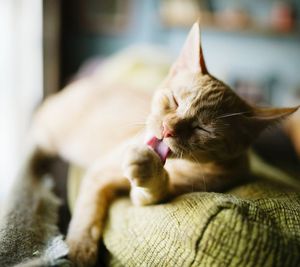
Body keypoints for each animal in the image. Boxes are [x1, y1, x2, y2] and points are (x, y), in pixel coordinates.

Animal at [28, 22, 298, 266]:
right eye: (175, 101)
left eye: (203, 128)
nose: (168, 129)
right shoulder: (100, 171)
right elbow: (87, 210)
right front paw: (80, 248)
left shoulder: (158, 194)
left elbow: (152, 190)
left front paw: (149, 167)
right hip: (50, 133)